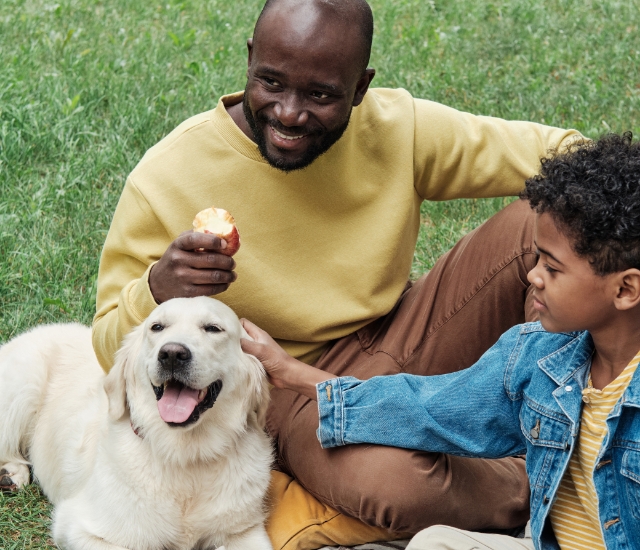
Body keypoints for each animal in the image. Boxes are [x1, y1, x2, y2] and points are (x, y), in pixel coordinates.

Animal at [0, 298, 272, 550]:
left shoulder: (245, 532)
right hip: (24, 386)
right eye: (157, 327)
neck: (185, 457)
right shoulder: (79, 527)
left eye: (213, 328)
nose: (172, 354)